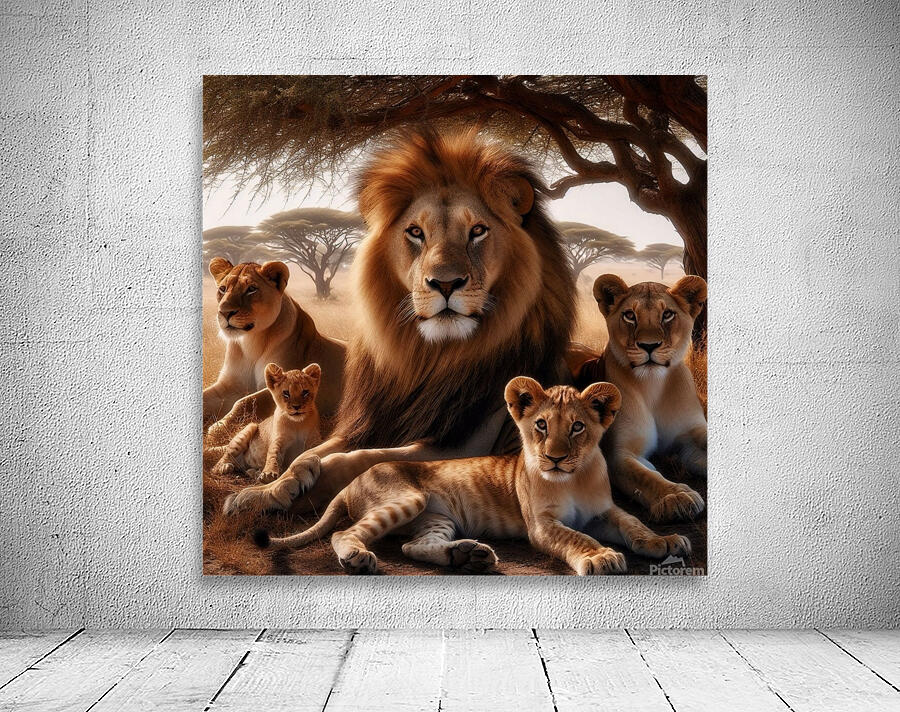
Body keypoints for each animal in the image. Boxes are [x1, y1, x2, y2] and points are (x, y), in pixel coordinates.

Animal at [202, 259, 345, 429]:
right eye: (222, 289)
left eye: (251, 289)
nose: (224, 312)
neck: (251, 343)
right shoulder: (230, 384)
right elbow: (205, 397)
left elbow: (245, 402)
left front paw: (217, 429)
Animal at [224, 128, 576, 516]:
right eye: (416, 232)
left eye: (478, 231)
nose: (445, 283)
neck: (427, 359)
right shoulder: (366, 424)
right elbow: (310, 455)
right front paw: (264, 490)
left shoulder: (462, 446)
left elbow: (359, 460)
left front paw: (286, 493)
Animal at [256, 376, 690, 575]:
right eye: (542, 426)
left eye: (578, 427)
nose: (554, 459)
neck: (574, 478)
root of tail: (350, 484)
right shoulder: (541, 525)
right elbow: (576, 537)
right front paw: (600, 556)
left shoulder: (604, 510)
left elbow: (634, 523)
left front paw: (665, 542)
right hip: (407, 499)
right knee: (344, 533)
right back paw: (359, 557)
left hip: (434, 519)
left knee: (411, 547)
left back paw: (468, 555)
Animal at [583, 274, 708, 522]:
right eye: (630, 315)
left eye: (667, 314)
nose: (649, 346)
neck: (653, 384)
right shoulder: (620, 453)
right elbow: (646, 476)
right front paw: (676, 496)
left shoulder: (691, 435)